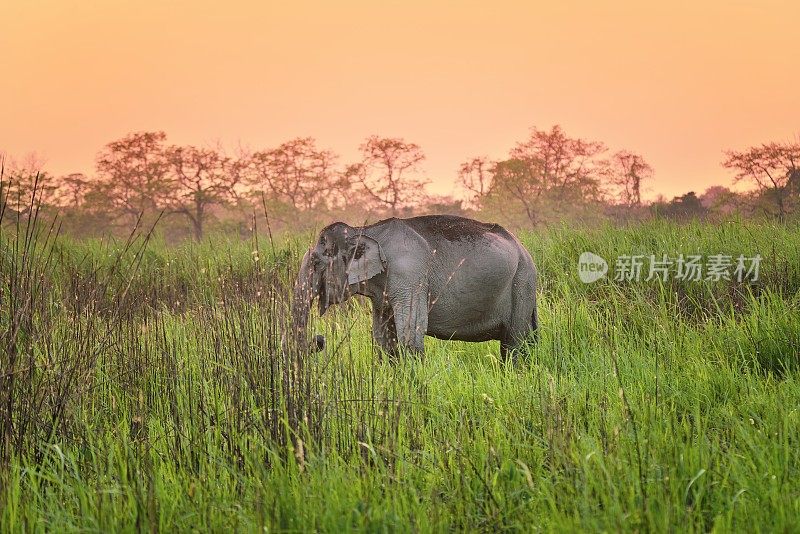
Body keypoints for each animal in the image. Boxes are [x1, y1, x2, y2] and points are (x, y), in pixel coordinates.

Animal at [288, 216, 536, 362]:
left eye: (315, 263)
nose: (319, 338)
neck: (365, 230)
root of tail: (523, 249)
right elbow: (383, 338)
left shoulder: (410, 274)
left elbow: (410, 332)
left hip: (521, 284)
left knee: (514, 343)